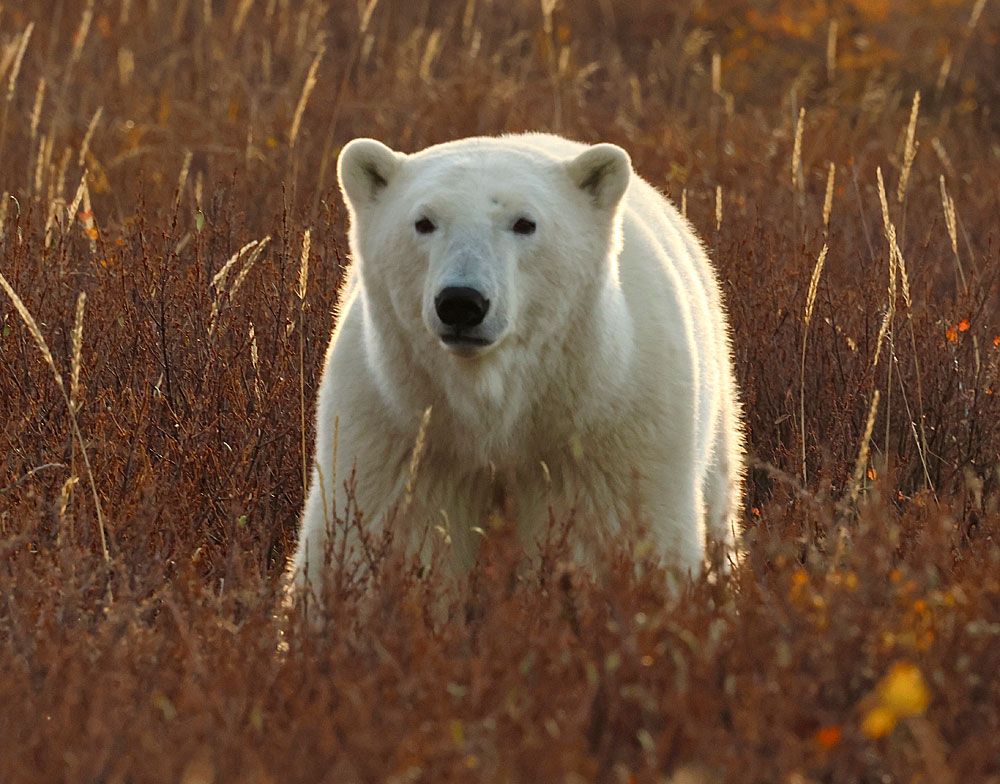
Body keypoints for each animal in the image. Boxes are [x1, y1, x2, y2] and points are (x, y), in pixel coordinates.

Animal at [290, 133, 744, 596]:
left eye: (525, 223)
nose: (461, 302)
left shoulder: (610, 431)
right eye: (424, 222)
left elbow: (613, 538)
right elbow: (389, 540)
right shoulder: (399, 430)